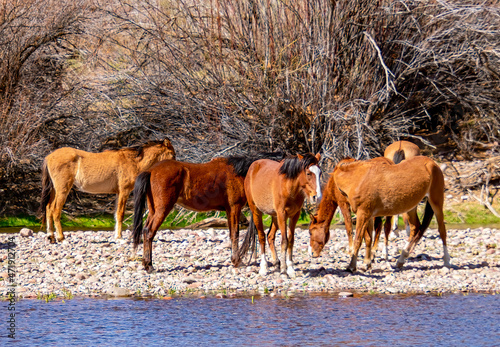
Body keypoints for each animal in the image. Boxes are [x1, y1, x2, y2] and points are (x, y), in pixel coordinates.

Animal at [37, 137, 175, 243]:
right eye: (173, 154)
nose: (174, 167)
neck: (133, 161)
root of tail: (49, 156)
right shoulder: (124, 192)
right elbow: (120, 213)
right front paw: (119, 237)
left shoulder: (118, 193)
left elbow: (116, 214)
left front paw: (116, 235)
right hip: (62, 190)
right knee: (55, 210)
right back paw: (61, 237)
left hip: (54, 190)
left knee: (48, 208)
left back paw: (51, 236)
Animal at [132, 154, 286, 274]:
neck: (240, 173)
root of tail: (151, 170)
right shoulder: (234, 208)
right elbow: (235, 234)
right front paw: (237, 261)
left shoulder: (229, 210)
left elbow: (232, 233)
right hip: (162, 209)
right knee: (149, 232)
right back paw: (149, 266)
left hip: (153, 210)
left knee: (146, 231)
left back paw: (146, 263)